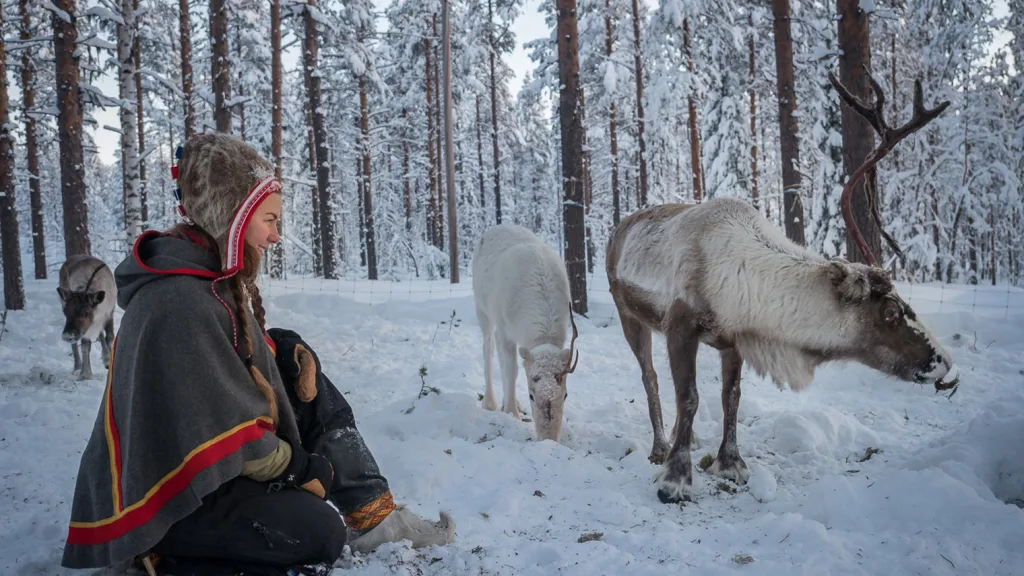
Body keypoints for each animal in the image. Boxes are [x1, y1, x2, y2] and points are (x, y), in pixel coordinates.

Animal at [472, 223, 579, 442]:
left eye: (565, 395)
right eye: (531, 395)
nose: (548, 439)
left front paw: (511, 405)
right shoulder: (505, 329)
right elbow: (512, 370)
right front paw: (511, 412)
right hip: (483, 310)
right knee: (488, 348)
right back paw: (491, 402)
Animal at [605, 68, 959, 504]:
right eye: (890, 311)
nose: (945, 363)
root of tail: (618, 228)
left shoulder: (734, 339)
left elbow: (731, 397)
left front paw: (731, 464)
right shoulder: (679, 327)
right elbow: (689, 397)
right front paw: (675, 480)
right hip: (628, 314)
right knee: (649, 377)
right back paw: (659, 447)